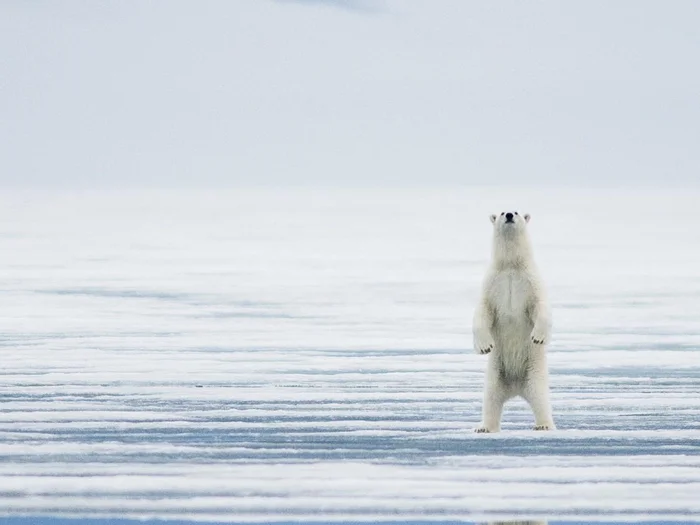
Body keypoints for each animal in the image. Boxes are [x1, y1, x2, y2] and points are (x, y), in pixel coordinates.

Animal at [472, 211, 555, 433]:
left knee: (540, 397)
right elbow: (482, 311)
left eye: (516, 211)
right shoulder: (492, 283)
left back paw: (544, 425)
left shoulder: (532, 281)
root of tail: (516, 388)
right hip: (496, 372)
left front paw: (538, 336)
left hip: (534, 370)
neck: (511, 265)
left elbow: (540, 306)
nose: (509, 214)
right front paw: (484, 346)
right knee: (490, 399)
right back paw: (484, 427)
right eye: (502, 212)